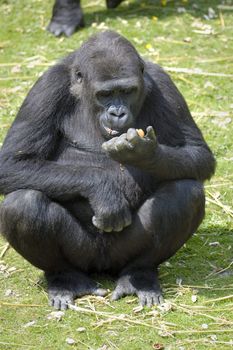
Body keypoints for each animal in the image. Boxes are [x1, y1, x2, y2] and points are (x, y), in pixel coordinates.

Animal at [0, 30, 215, 308]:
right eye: (104, 94)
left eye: (127, 91)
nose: (118, 113)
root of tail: (103, 268)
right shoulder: (46, 87)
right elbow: (13, 162)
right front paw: (103, 190)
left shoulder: (164, 84)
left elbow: (198, 153)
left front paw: (146, 155)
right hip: (84, 258)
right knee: (23, 203)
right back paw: (66, 279)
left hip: (121, 256)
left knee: (186, 193)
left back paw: (139, 275)